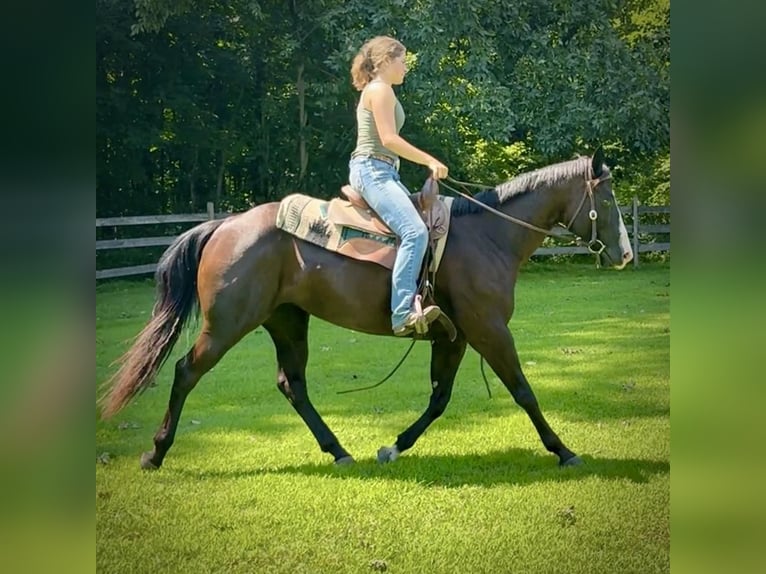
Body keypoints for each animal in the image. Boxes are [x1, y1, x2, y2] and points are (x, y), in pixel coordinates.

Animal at [99, 148, 632, 472]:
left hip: (286, 321)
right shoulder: (489, 329)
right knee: (186, 372)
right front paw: (564, 451)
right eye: (607, 199)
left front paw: (393, 446)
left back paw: (338, 452)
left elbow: (439, 399)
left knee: (292, 384)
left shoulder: (455, 336)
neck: (488, 237)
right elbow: (523, 391)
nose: (626, 254)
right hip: (228, 324)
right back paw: (155, 453)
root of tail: (224, 225)